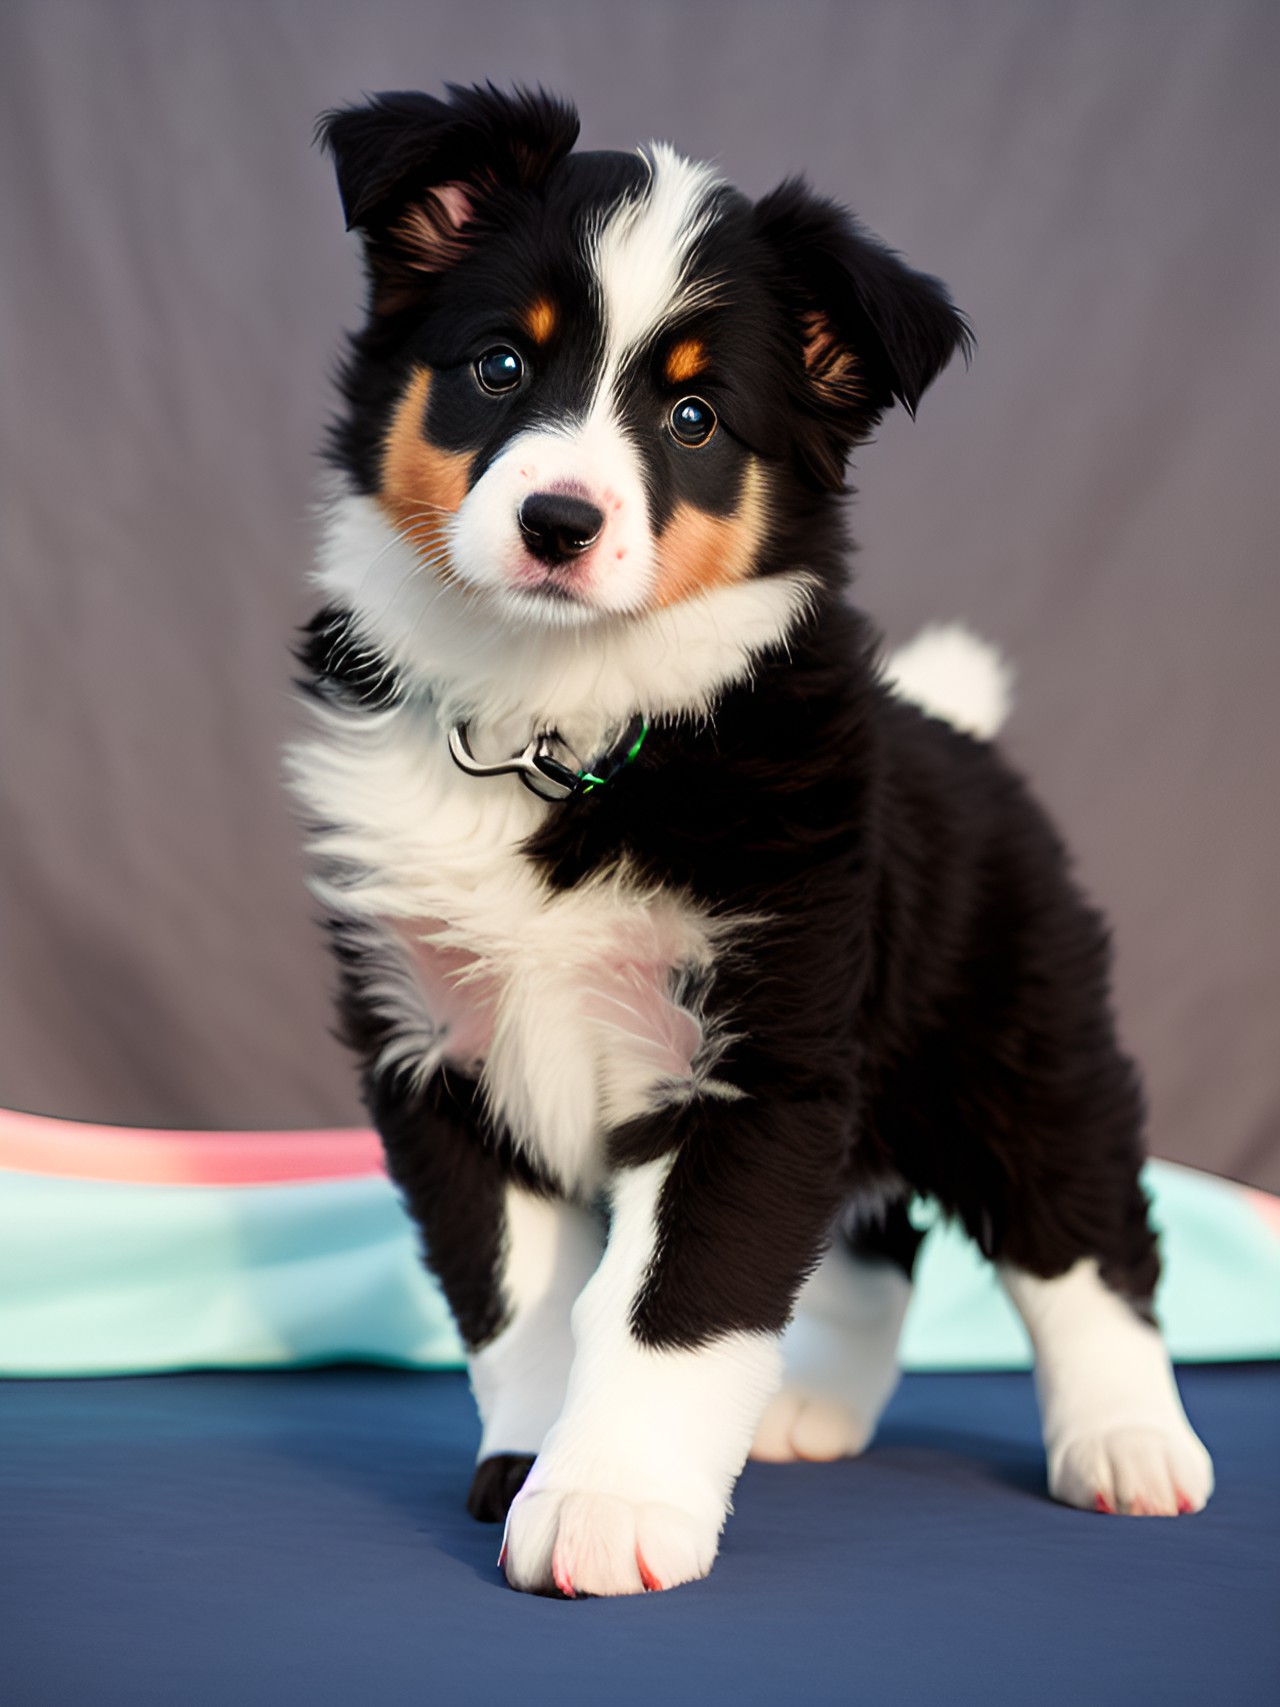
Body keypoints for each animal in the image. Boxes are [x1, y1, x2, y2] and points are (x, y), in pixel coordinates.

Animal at [288, 83, 1215, 1597]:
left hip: (1021, 1045)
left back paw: (1131, 1444)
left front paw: (605, 1506)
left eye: (693, 414)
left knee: (1086, 1239)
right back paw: (811, 1412)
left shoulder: (753, 1061)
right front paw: (530, 1457)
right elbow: (518, 1298)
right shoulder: (437, 1055)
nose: (558, 520)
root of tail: (958, 733)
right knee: (874, 1243)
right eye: (497, 365)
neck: (553, 734)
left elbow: (680, 1299)